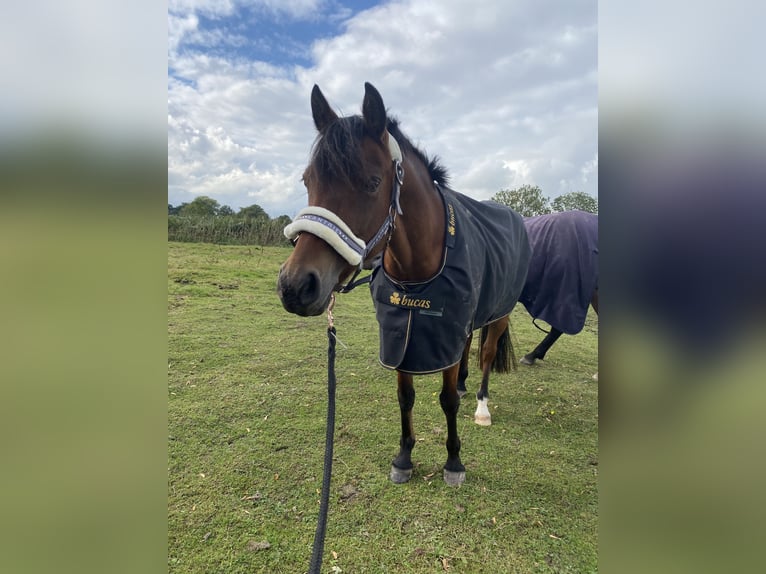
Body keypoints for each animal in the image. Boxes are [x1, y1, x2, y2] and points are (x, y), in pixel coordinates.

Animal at [280, 82, 532, 486]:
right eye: (308, 180)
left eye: (372, 182)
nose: (295, 285)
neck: (418, 272)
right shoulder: (403, 337)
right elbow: (406, 397)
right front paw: (404, 457)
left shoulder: (444, 330)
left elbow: (447, 400)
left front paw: (454, 462)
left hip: (500, 315)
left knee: (487, 355)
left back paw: (480, 404)